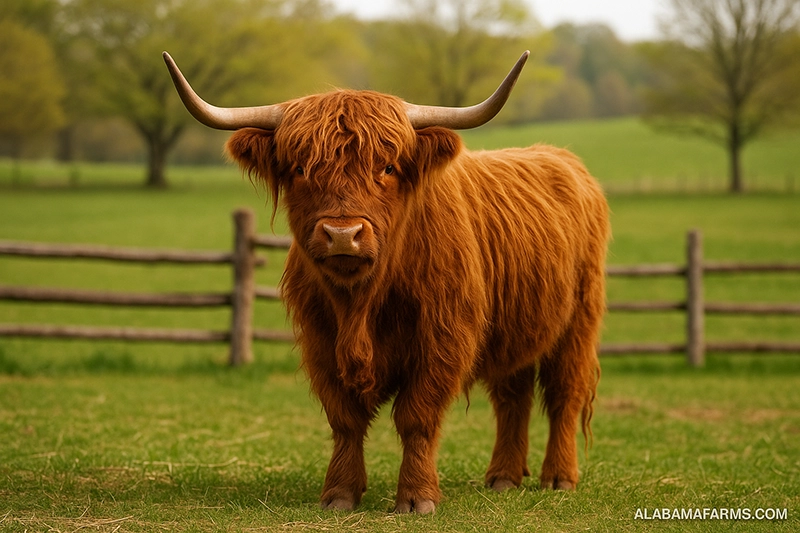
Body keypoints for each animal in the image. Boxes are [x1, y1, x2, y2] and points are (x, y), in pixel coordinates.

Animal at [164, 50, 610, 514]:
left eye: (389, 167)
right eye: (301, 168)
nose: (343, 234)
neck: (360, 303)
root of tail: (559, 157)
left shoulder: (442, 339)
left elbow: (416, 417)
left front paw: (416, 497)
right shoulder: (321, 341)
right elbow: (345, 420)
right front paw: (340, 493)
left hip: (579, 323)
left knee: (563, 394)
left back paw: (559, 477)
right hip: (514, 330)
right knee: (513, 396)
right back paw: (504, 477)